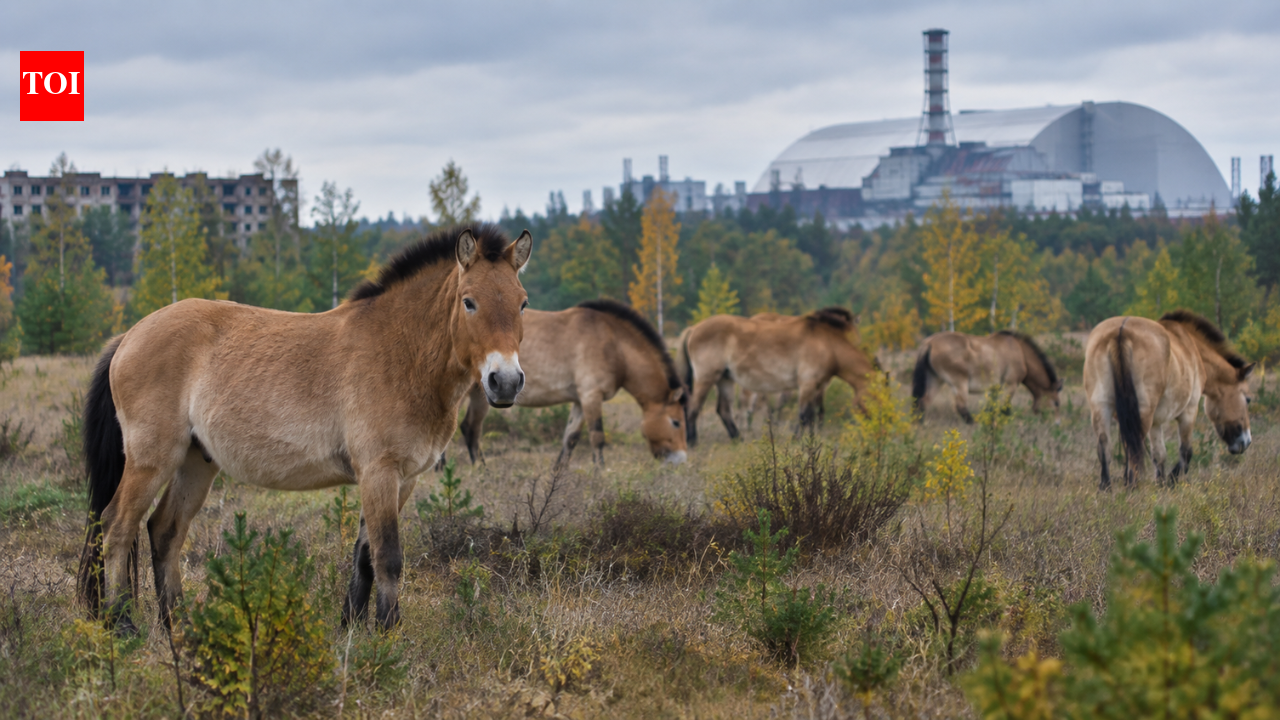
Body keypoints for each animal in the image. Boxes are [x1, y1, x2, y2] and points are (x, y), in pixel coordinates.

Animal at [77, 224, 533, 634]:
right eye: (469, 302)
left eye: (523, 303)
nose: (505, 382)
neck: (401, 351)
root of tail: (129, 335)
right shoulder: (379, 472)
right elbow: (388, 557)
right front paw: (388, 637)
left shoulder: (403, 480)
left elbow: (364, 555)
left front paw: (350, 630)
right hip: (151, 460)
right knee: (116, 526)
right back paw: (122, 624)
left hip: (195, 462)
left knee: (164, 532)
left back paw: (179, 626)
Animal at [458, 299, 688, 470]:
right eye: (676, 422)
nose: (680, 460)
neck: (614, 344)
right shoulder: (591, 396)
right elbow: (597, 437)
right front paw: (600, 473)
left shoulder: (580, 400)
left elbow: (571, 437)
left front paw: (558, 473)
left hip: (481, 394)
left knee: (470, 429)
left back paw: (482, 470)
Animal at [676, 307, 874, 445]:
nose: (872, 424)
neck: (827, 344)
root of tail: (693, 329)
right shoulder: (808, 384)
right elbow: (804, 415)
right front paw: (797, 440)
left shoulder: (816, 386)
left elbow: (811, 414)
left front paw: (810, 439)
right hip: (707, 378)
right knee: (693, 407)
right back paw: (692, 442)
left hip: (725, 379)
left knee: (723, 410)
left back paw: (738, 439)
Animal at [911, 330, 1064, 423]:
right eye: (1056, 403)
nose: (1057, 423)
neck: (1021, 353)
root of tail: (929, 342)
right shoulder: (1011, 385)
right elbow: (1005, 409)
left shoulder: (994, 389)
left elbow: (991, 408)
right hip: (959, 382)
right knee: (961, 407)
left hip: (935, 379)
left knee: (923, 402)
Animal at [1083, 310, 1253, 489]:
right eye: (1248, 399)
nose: (1247, 441)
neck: (1192, 348)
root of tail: (1121, 332)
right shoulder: (1189, 411)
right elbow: (1186, 452)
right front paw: (1172, 480)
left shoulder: (1155, 423)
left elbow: (1159, 455)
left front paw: (1161, 483)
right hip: (1142, 413)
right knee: (1134, 449)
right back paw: (1132, 486)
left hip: (1101, 409)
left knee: (1105, 447)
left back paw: (1106, 487)